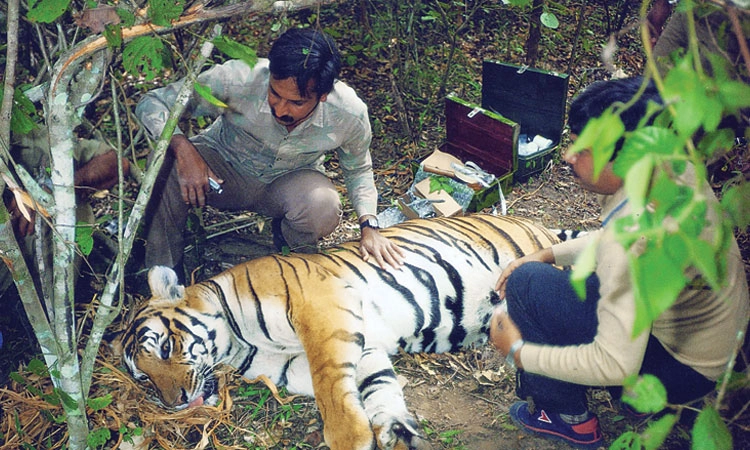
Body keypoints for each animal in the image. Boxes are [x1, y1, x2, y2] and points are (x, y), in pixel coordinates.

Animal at [117, 214, 562, 450]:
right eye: (144, 378)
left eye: (164, 348)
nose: (175, 401)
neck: (237, 343)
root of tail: (540, 225)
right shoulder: (349, 349)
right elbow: (375, 386)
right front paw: (393, 427)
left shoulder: (322, 308)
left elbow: (330, 386)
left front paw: (350, 438)